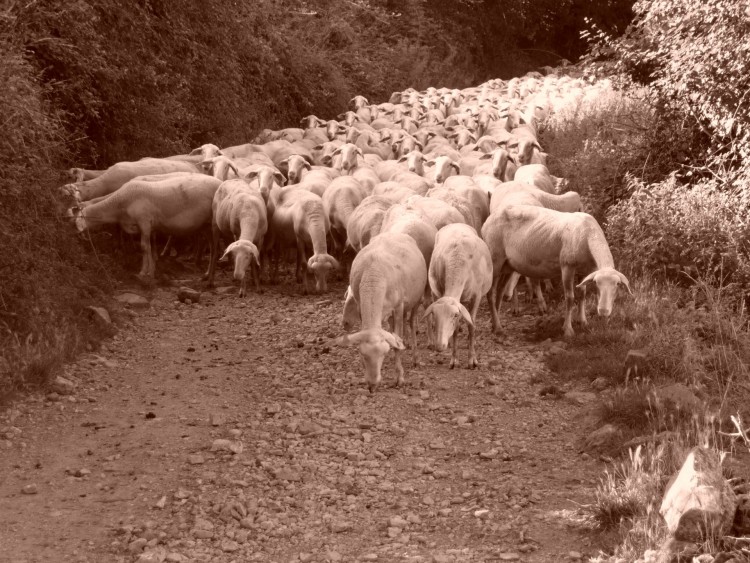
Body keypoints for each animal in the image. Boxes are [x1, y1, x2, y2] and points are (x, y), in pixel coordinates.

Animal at [332, 231, 426, 390]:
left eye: (382, 355)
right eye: (363, 355)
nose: (372, 385)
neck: (373, 276)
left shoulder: (398, 307)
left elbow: (397, 341)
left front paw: (399, 378)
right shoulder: (361, 307)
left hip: (416, 300)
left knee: (412, 323)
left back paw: (415, 357)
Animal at [426, 225, 496, 370]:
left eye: (454, 315)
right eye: (434, 314)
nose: (439, 346)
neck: (457, 260)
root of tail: (456, 224)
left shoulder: (476, 296)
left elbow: (471, 325)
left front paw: (472, 360)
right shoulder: (440, 292)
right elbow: (455, 331)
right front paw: (454, 360)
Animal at [482, 207, 636, 340]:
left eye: (617, 285)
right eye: (597, 284)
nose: (603, 311)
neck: (589, 233)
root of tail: (487, 221)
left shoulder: (585, 271)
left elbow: (582, 295)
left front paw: (582, 321)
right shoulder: (567, 266)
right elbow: (570, 298)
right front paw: (568, 329)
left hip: (507, 264)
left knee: (500, 291)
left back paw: (494, 323)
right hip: (495, 259)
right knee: (490, 293)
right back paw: (498, 328)